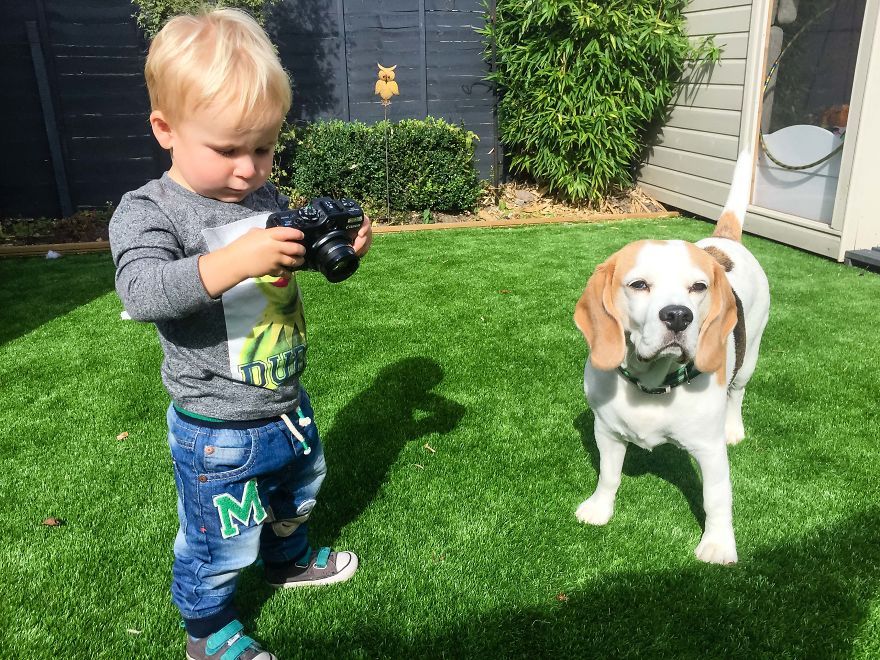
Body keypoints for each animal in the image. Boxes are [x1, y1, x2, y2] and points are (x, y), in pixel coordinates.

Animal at [576, 152, 768, 564]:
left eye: (698, 287)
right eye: (638, 285)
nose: (679, 316)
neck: (651, 383)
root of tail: (723, 241)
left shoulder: (708, 451)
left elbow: (716, 498)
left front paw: (718, 544)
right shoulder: (606, 431)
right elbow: (608, 475)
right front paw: (600, 508)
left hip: (750, 357)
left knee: (738, 393)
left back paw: (734, 427)